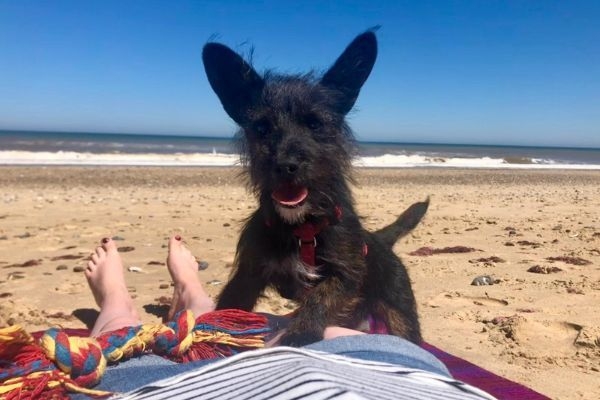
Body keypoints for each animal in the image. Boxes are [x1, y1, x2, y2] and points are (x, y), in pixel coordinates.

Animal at [203, 30, 426, 346]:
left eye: (315, 124)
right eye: (262, 128)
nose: (286, 165)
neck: (302, 228)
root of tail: (381, 242)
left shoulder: (345, 273)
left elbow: (321, 296)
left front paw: (300, 332)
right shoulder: (249, 272)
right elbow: (231, 303)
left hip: (400, 313)